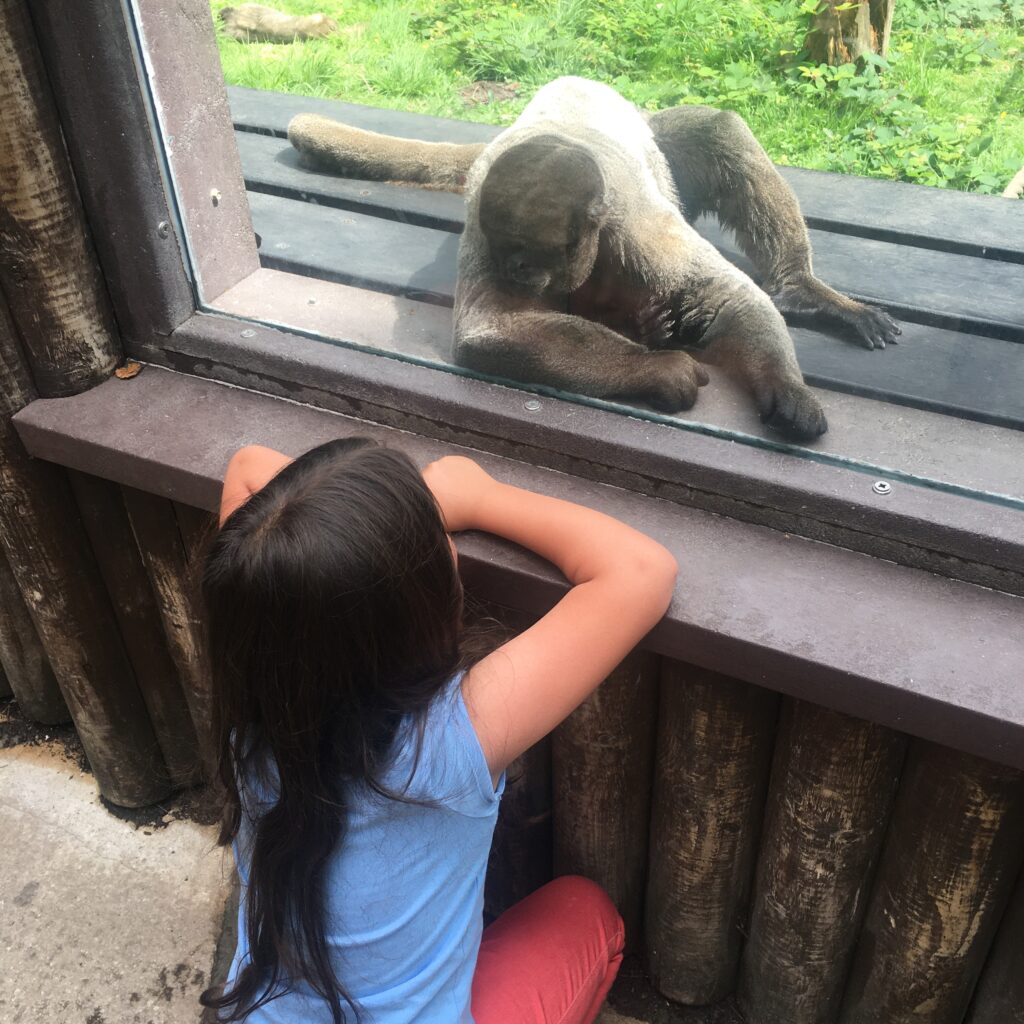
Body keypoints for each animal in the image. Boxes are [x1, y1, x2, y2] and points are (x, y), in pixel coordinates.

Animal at [288, 77, 901, 440]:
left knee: (717, 128)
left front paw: (785, 388)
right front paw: (660, 370)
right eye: (510, 251)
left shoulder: (644, 231)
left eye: (539, 251)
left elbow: (727, 295)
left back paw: (801, 288)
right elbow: (489, 331)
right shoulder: (482, 231)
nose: (520, 272)